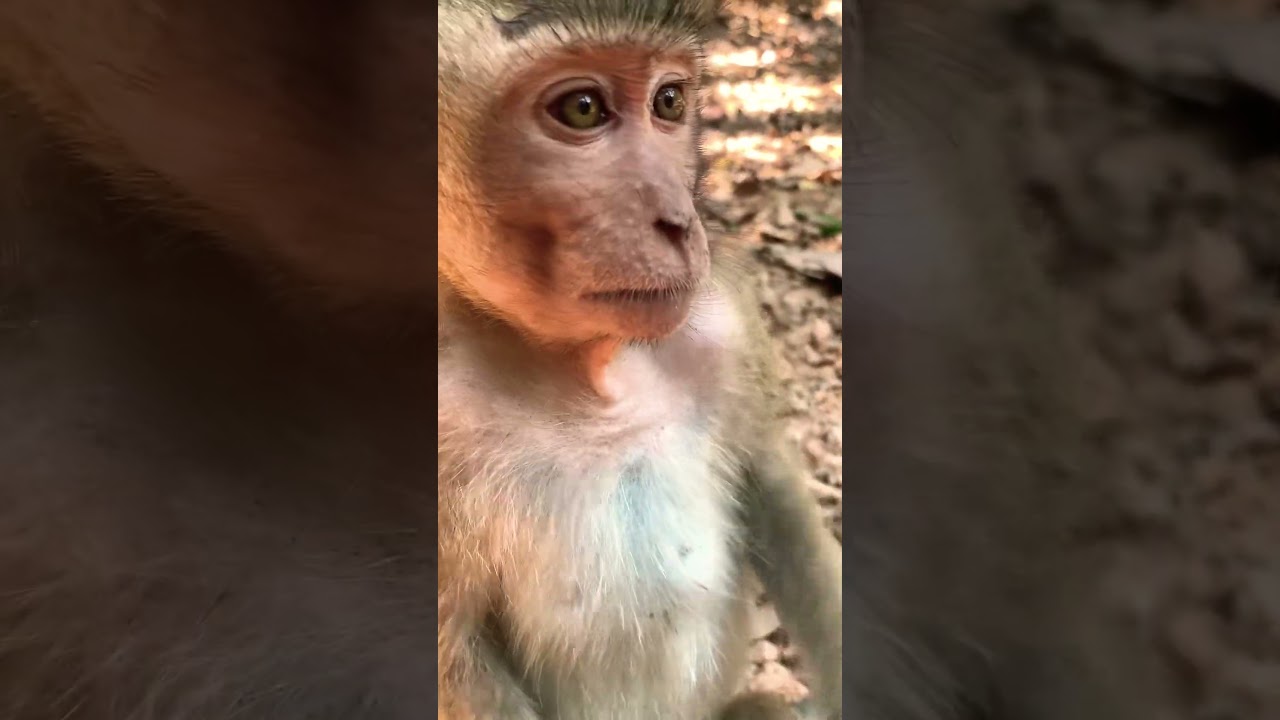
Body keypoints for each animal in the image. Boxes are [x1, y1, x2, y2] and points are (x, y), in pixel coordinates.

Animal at [436, 1, 843, 719]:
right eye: (582, 110)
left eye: (670, 101)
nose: (680, 221)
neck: (590, 370)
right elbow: (454, 640)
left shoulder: (726, 323)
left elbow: (773, 485)